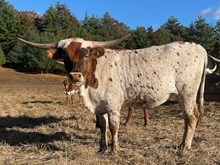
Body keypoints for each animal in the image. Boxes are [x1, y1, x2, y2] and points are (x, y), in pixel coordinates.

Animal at [17, 35, 218, 155]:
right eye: (65, 55)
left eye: (86, 54)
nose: (75, 76)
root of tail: (198, 47)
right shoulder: (100, 107)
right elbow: (103, 126)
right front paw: (102, 148)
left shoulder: (113, 105)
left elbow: (113, 127)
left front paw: (114, 150)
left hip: (187, 93)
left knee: (191, 118)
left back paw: (184, 147)